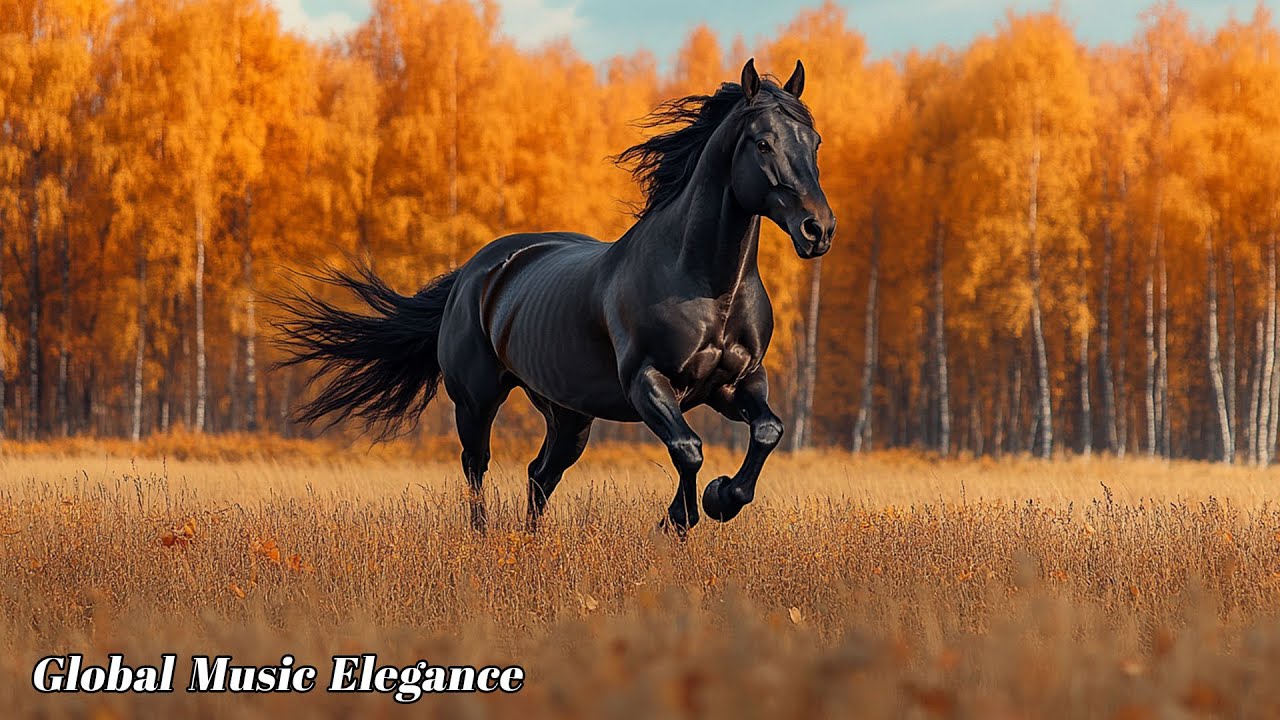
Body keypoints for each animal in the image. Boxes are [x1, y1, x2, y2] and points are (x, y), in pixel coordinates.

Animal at [274, 59, 836, 534]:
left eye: (814, 142)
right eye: (762, 144)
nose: (818, 230)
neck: (707, 286)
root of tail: (475, 272)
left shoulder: (737, 383)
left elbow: (769, 431)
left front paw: (721, 499)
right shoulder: (648, 381)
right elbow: (688, 447)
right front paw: (683, 517)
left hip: (569, 415)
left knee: (539, 473)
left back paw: (533, 542)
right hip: (476, 398)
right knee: (477, 466)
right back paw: (482, 540)